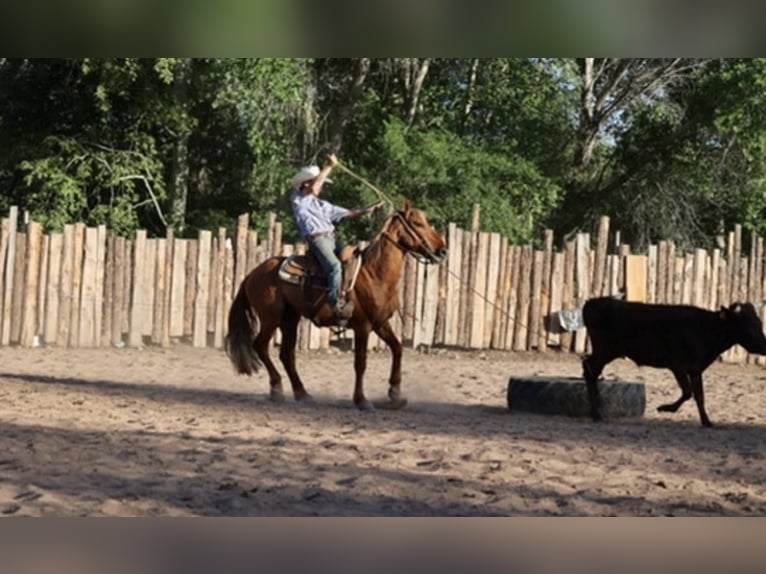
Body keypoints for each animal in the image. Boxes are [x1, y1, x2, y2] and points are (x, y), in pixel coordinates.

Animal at [224, 199, 448, 410]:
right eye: (417, 223)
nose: (442, 250)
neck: (374, 273)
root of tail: (252, 274)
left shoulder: (380, 323)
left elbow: (397, 348)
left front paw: (395, 394)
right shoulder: (362, 326)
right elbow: (360, 363)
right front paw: (362, 400)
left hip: (290, 319)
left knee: (286, 354)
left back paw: (302, 393)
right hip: (271, 317)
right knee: (260, 346)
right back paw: (277, 388)